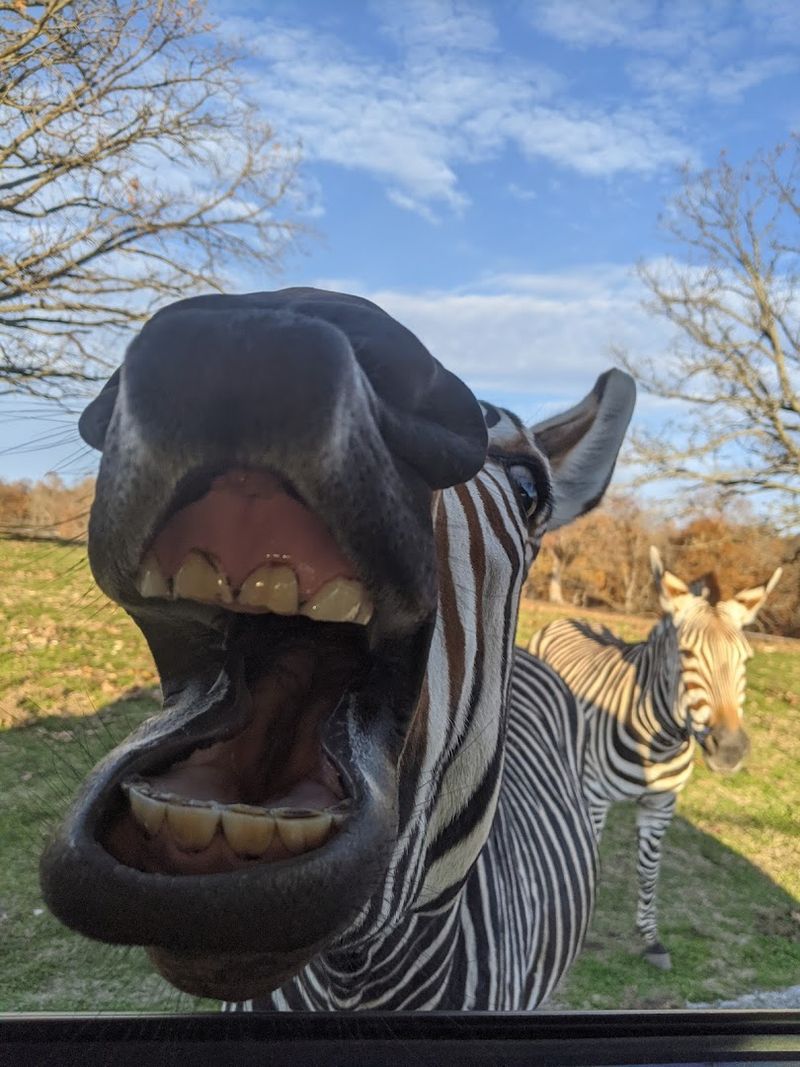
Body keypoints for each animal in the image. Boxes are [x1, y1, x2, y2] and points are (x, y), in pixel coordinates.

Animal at [528, 545, 782, 971]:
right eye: (686, 654)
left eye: (745, 659)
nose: (730, 749)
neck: (659, 740)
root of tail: (570, 617)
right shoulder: (596, 800)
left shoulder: (661, 804)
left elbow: (649, 870)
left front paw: (650, 939)